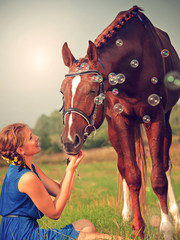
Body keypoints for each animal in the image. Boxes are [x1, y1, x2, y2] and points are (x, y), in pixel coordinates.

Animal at [60, 6, 180, 240]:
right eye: (62, 92)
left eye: (92, 90)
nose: (69, 140)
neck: (134, 62)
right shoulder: (119, 119)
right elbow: (132, 174)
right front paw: (138, 227)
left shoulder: (155, 117)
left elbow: (158, 177)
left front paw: (166, 228)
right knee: (123, 165)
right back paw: (127, 213)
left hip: (166, 121)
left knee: (166, 163)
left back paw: (175, 214)